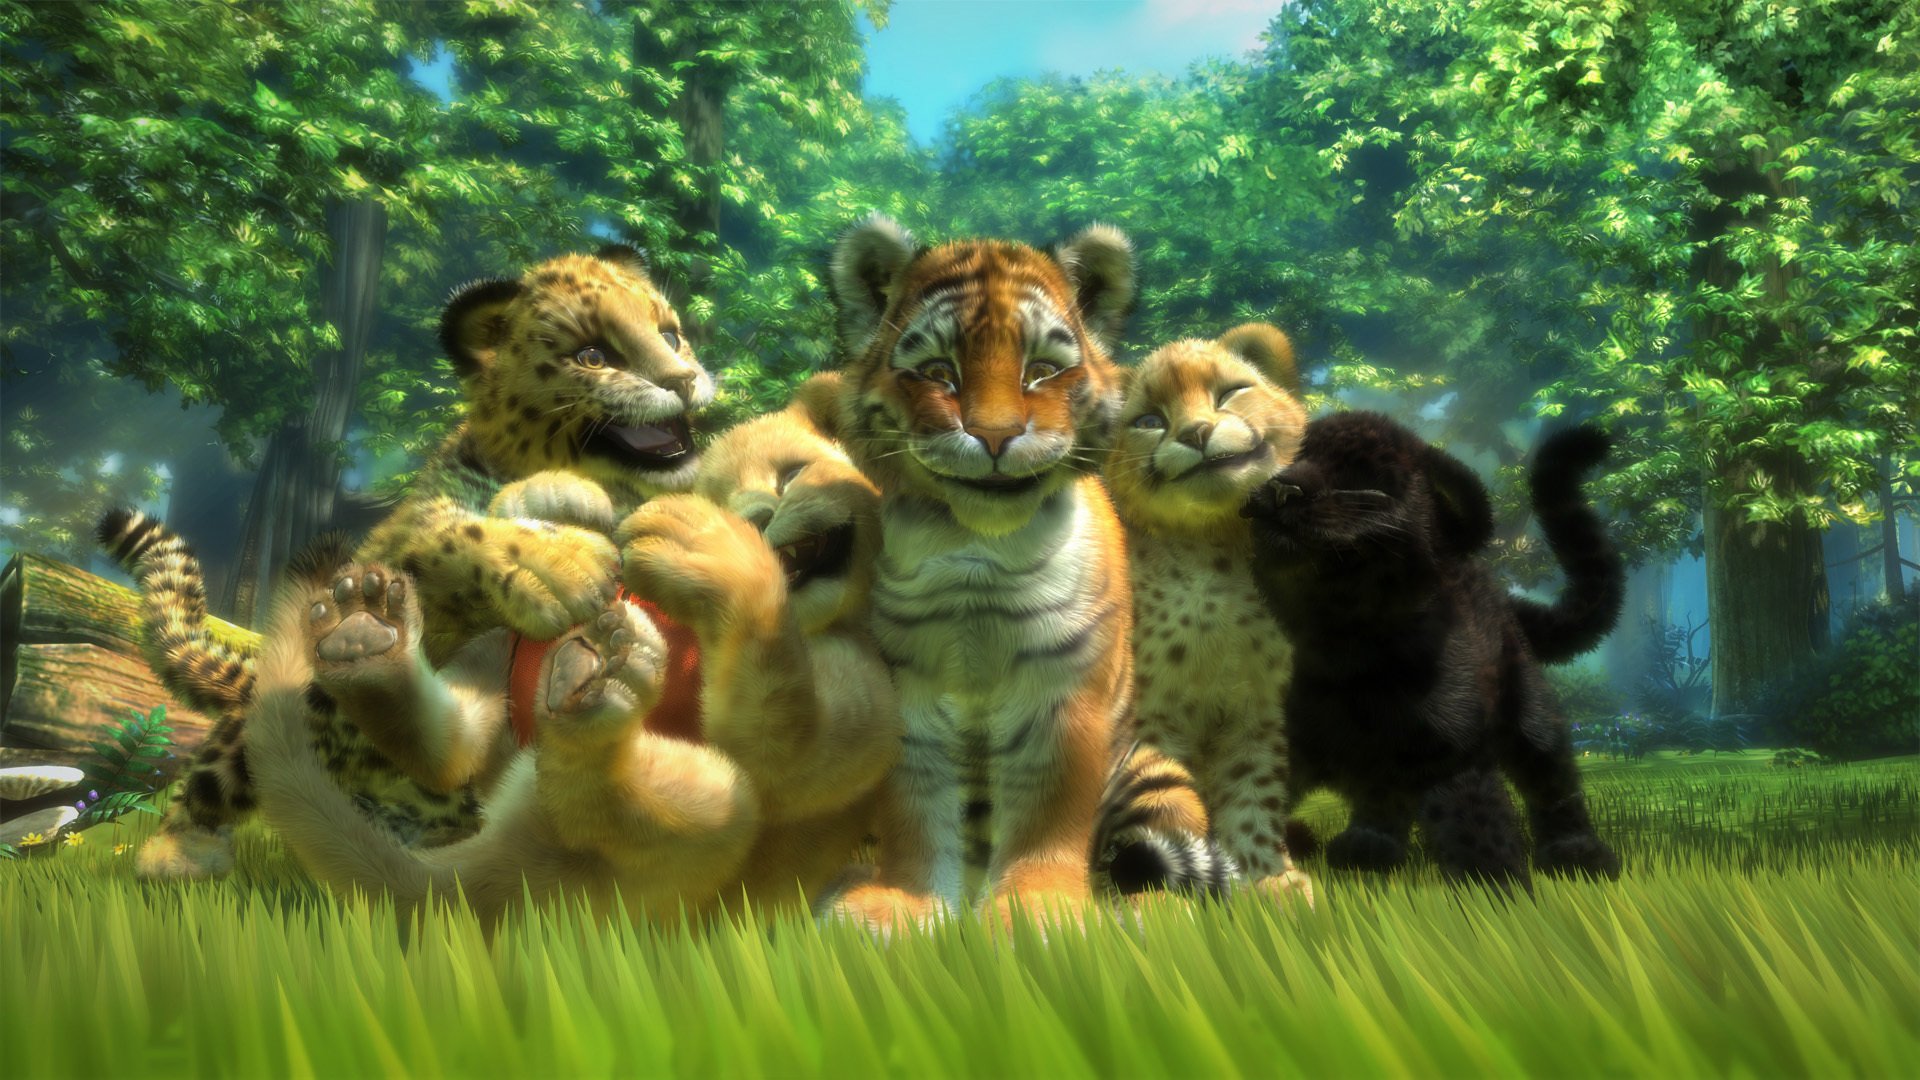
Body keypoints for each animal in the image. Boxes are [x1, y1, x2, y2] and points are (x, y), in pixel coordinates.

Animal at [99, 243, 713, 880]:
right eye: (593, 355)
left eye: (671, 335)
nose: (684, 379)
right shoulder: (412, 528)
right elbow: (459, 530)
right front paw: (559, 567)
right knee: (220, 771)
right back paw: (177, 857)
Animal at [819, 213, 1144, 931]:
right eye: (939, 372)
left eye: (1041, 372)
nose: (995, 437)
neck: (978, 553)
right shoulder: (907, 697)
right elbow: (915, 809)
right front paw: (902, 905)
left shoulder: (1061, 695)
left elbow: (1047, 814)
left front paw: (1040, 911)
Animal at [1103, 325, 1316, 905]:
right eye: (1148, 420)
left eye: (1230, 393)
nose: (1197, 432)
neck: (1210, 543)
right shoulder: (1147, 720)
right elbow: (1161, 794)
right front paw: (1159, 895)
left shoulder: (1253, 713)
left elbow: (1252, 794)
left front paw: (1264, 877)